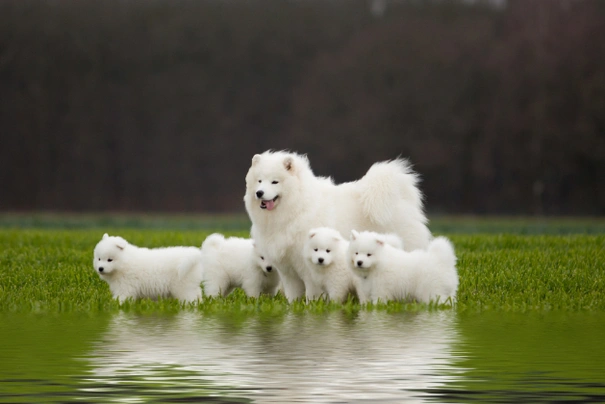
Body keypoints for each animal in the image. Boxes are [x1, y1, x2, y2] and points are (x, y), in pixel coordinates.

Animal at [243, 150, 432, 302]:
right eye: (259, 181)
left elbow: (312, 293)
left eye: (275, 182)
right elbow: (292, 295)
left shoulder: (308, 266)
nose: (259, 193)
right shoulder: (287, 268)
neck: (296, 208)